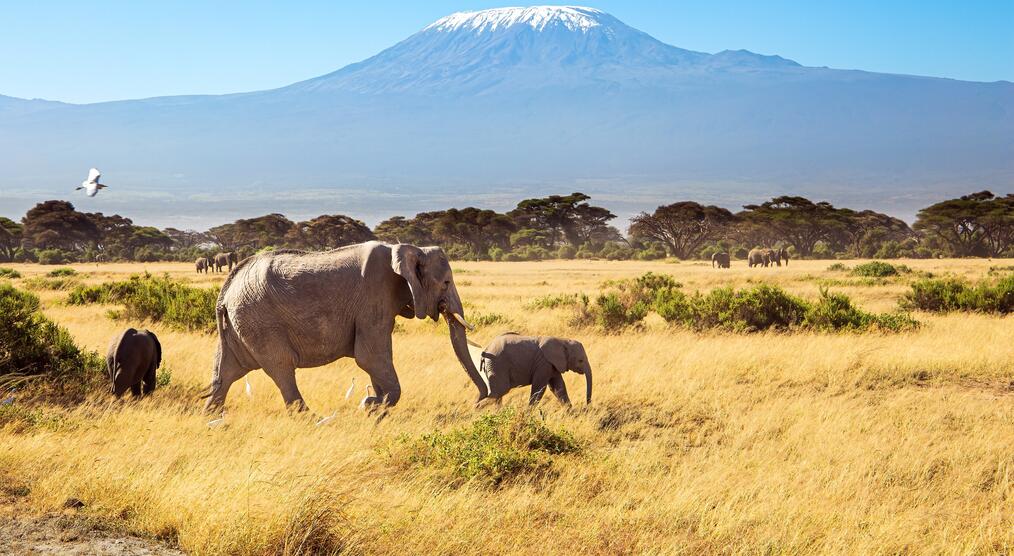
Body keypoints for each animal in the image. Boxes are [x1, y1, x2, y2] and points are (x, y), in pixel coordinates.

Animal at [203, 241, 484, 409]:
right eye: (446, 283)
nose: (479, 402)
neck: (406, 248)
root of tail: (225, 292)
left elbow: (374, 361)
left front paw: (374, 405)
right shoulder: (374, 298)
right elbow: (369, 357)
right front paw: (370, 405)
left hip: (239, 325)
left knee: (225, 373)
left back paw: (214, 422)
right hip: (260, 322)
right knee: (282, 369)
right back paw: (312, 421)